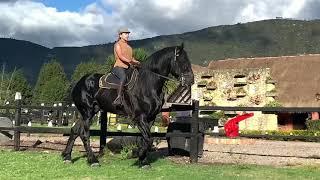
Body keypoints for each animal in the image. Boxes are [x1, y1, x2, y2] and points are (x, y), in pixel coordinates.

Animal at [61, 43, 194, 167]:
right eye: (182, 60)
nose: (191, 80)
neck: (147, 83)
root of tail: (79, 83)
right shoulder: (140, 117)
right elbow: (148, 139)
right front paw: (140, 157)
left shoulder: (151, 118)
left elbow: (145, 139)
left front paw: (143, 160)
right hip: (87, 112)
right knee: (84, 134)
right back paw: (93, 160)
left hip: (89, 112)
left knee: (75, 130)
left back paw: (67, 156)